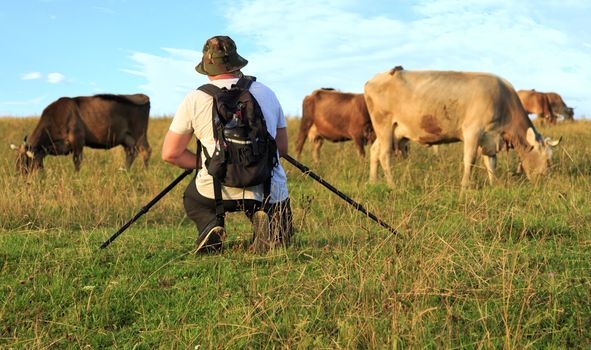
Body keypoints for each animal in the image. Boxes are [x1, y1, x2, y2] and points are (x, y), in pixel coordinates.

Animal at [10, 94, 153, 174]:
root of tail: (143, 96)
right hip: (127, 139)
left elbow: (77, 160)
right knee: (131, 154)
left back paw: (145, 172)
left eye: (24, 161)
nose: (18, 175)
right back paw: (124, 171)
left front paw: (76, 176)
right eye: (16, 160)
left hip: (140, 134)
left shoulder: (77, 139)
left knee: (146, 151)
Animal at [364, 69, 560, 190]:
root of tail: (373, 79)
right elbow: (470, 160)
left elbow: (491, 163)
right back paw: (392, 185)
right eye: (548, 160)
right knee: (384, 155)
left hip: (392, 131)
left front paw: (494, 184)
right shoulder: (472, 130)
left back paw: (373, 182)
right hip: (384, 125)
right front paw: (465, 187)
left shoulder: (490, 138)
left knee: (374, 151)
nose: (547, 181)